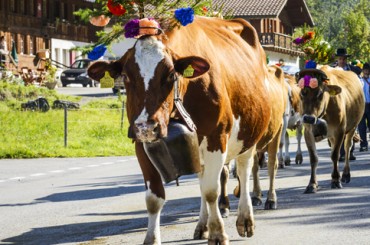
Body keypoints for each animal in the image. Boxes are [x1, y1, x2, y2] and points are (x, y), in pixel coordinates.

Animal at [86, 16, 272, 244]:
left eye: (170, 75)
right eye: (127, 77)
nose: (147, 126)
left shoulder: (216, 137)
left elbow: (211, 191)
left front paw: (218, 232)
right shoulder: (140, 142)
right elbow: (154, 198)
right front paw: (152, 239)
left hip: (249, 136)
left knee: (244, 172)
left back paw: (245, 220)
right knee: (202, 178)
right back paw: (202, 225)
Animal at [298, 65, 364, 193]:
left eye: (320, 94)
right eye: (302, 93)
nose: (308, 118)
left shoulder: (339, 131)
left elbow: (335, 155)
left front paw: (335, 180)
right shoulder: (308, 132)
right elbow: (313, 158)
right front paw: (312, 184)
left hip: (352, 127)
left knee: (347, 148)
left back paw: (345, 175)